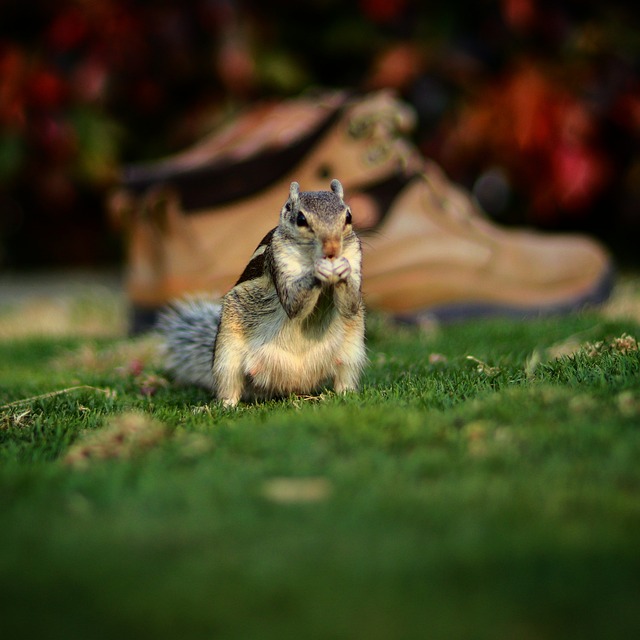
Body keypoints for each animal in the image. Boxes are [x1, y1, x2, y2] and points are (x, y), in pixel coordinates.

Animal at [156, 179, 364, 404]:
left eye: (349, 216)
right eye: (301, 219)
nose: (332, 249)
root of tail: (292, 383)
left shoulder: (354, 254)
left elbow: (350, 305)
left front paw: (342, 269)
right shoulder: (279, 260)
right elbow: (294, 305)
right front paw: (318, 270)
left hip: (352, 352)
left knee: (344, 376)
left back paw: (346, 394)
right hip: (226, 354)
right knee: (229, 383)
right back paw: (224, 404)